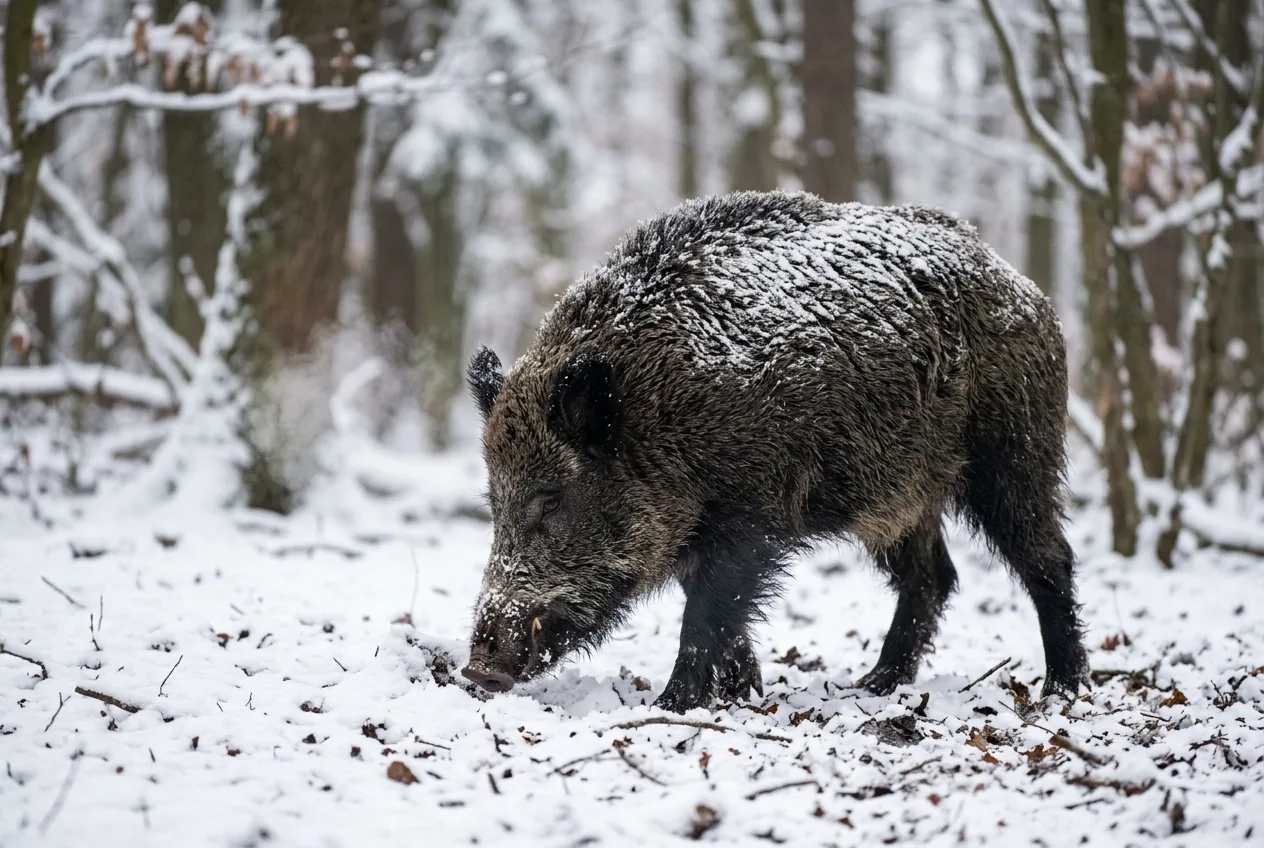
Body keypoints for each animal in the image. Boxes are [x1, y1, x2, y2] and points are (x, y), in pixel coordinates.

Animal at [460, 189, 1089, 713]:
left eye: (550, 499)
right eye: (494, 502)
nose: (479, 669)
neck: (657, 414)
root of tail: (1027, 290)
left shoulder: (751, 515)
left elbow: (706, 612)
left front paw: (675, 705)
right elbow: (717, 610)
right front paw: (744, 693)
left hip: (1013, 453)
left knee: (1048, 558)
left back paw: (1062, 689)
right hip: (899, 498)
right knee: (933, 576)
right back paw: (875, 685)